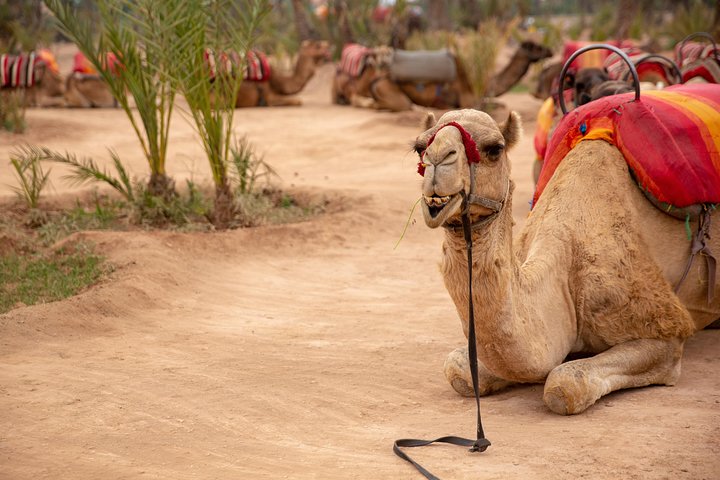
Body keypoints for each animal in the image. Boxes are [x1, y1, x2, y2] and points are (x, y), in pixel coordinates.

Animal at [413, 101, 719, 414]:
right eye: (420, 147)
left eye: (494, 149)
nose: (437, 160)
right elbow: (459, 368)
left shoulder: (662, 333)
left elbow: (565, 383)